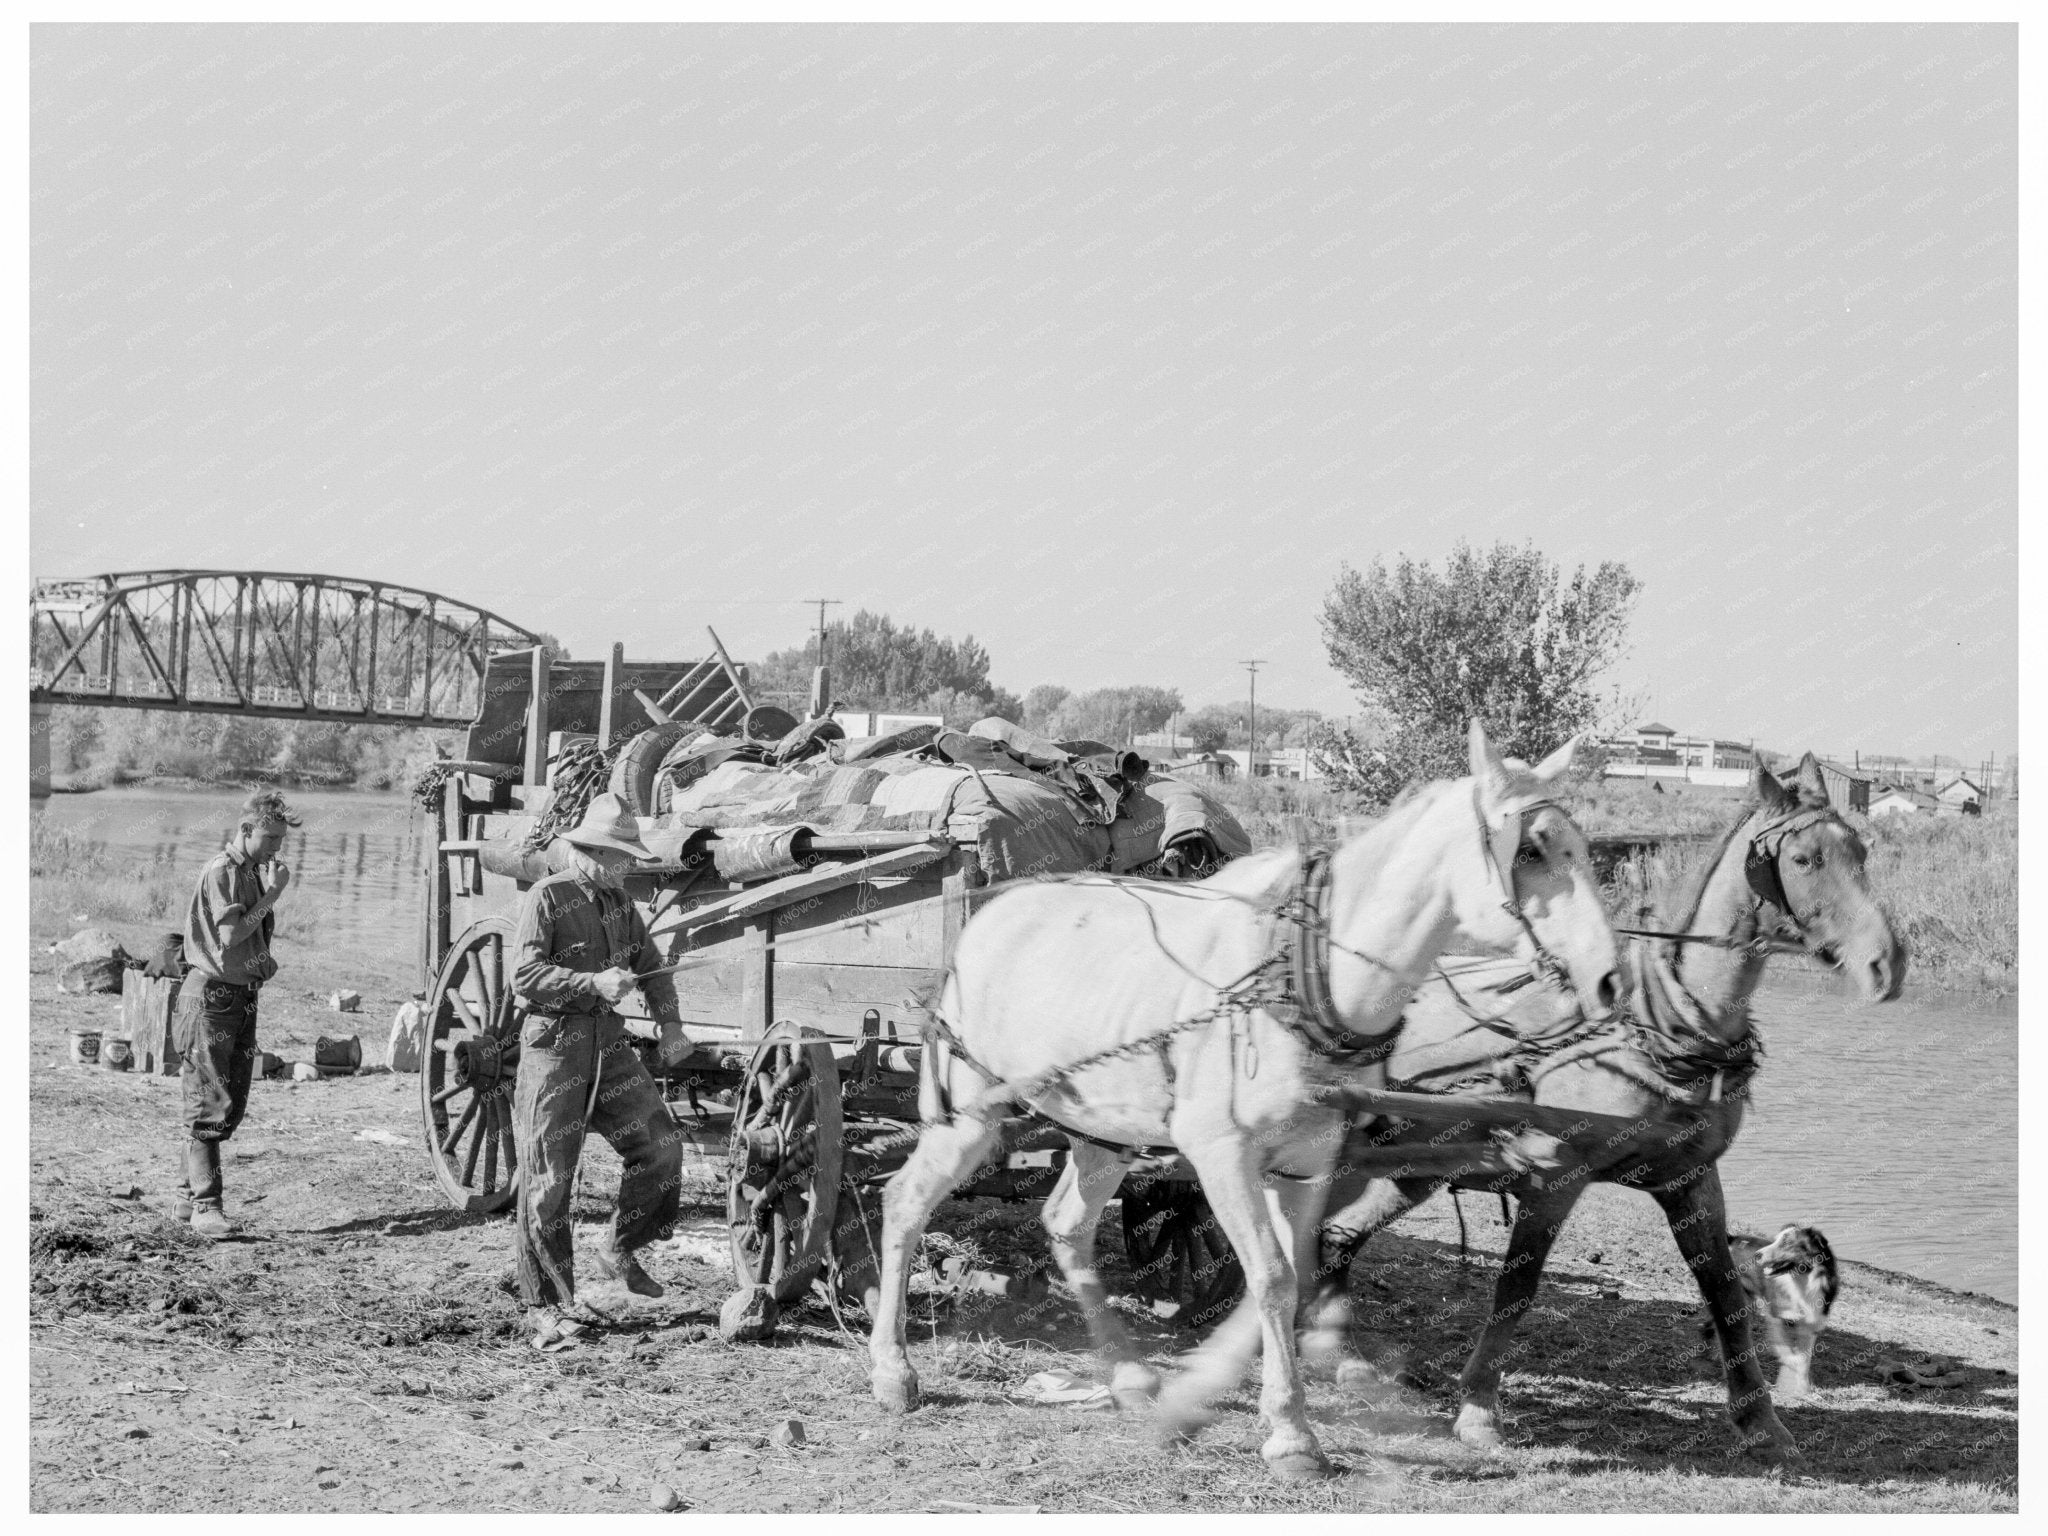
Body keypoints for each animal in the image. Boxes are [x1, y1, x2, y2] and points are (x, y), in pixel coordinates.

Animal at [872, 729, 1622, 1482]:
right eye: (1530, 851)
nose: (1609, 981)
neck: (1308, 978)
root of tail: (989, 916)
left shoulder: (1307, 1165)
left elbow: (1290, 1277)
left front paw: (1245, 1402)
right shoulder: (1222, 1155)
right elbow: (1271, 1276)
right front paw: (1289, 1433)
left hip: (1101, 1128)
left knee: (1067, 1225)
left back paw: (1128, 1374)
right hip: (969, 1115)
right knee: (904, 1201)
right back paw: (893, 1371)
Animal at [1310, 757, 1900, 1466]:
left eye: (1861, 852)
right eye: (1807, 859)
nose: (1886, 963)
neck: (1657, 1033)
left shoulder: (1691, 1180)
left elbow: (1725, 1292)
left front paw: (1761, 1422)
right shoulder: (1553, 1176)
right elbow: (1516, 1289)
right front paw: (1478, 1409)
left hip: (1414, 1162)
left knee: (1336, 1237)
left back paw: (1341, 1356)